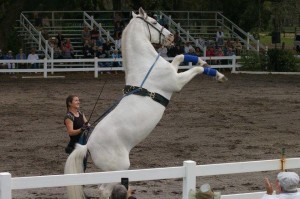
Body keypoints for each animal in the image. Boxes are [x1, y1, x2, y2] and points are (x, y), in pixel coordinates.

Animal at [65, 7, 225, 199]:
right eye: (154, 22)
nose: (171, 36)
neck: (146, 64)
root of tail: (87, 145)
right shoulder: (176, 82)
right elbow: (197, 70)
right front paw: (217, 74)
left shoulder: (174, 69)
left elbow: (179, 56)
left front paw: (201, 60)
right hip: (119, 168)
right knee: (104, 190)